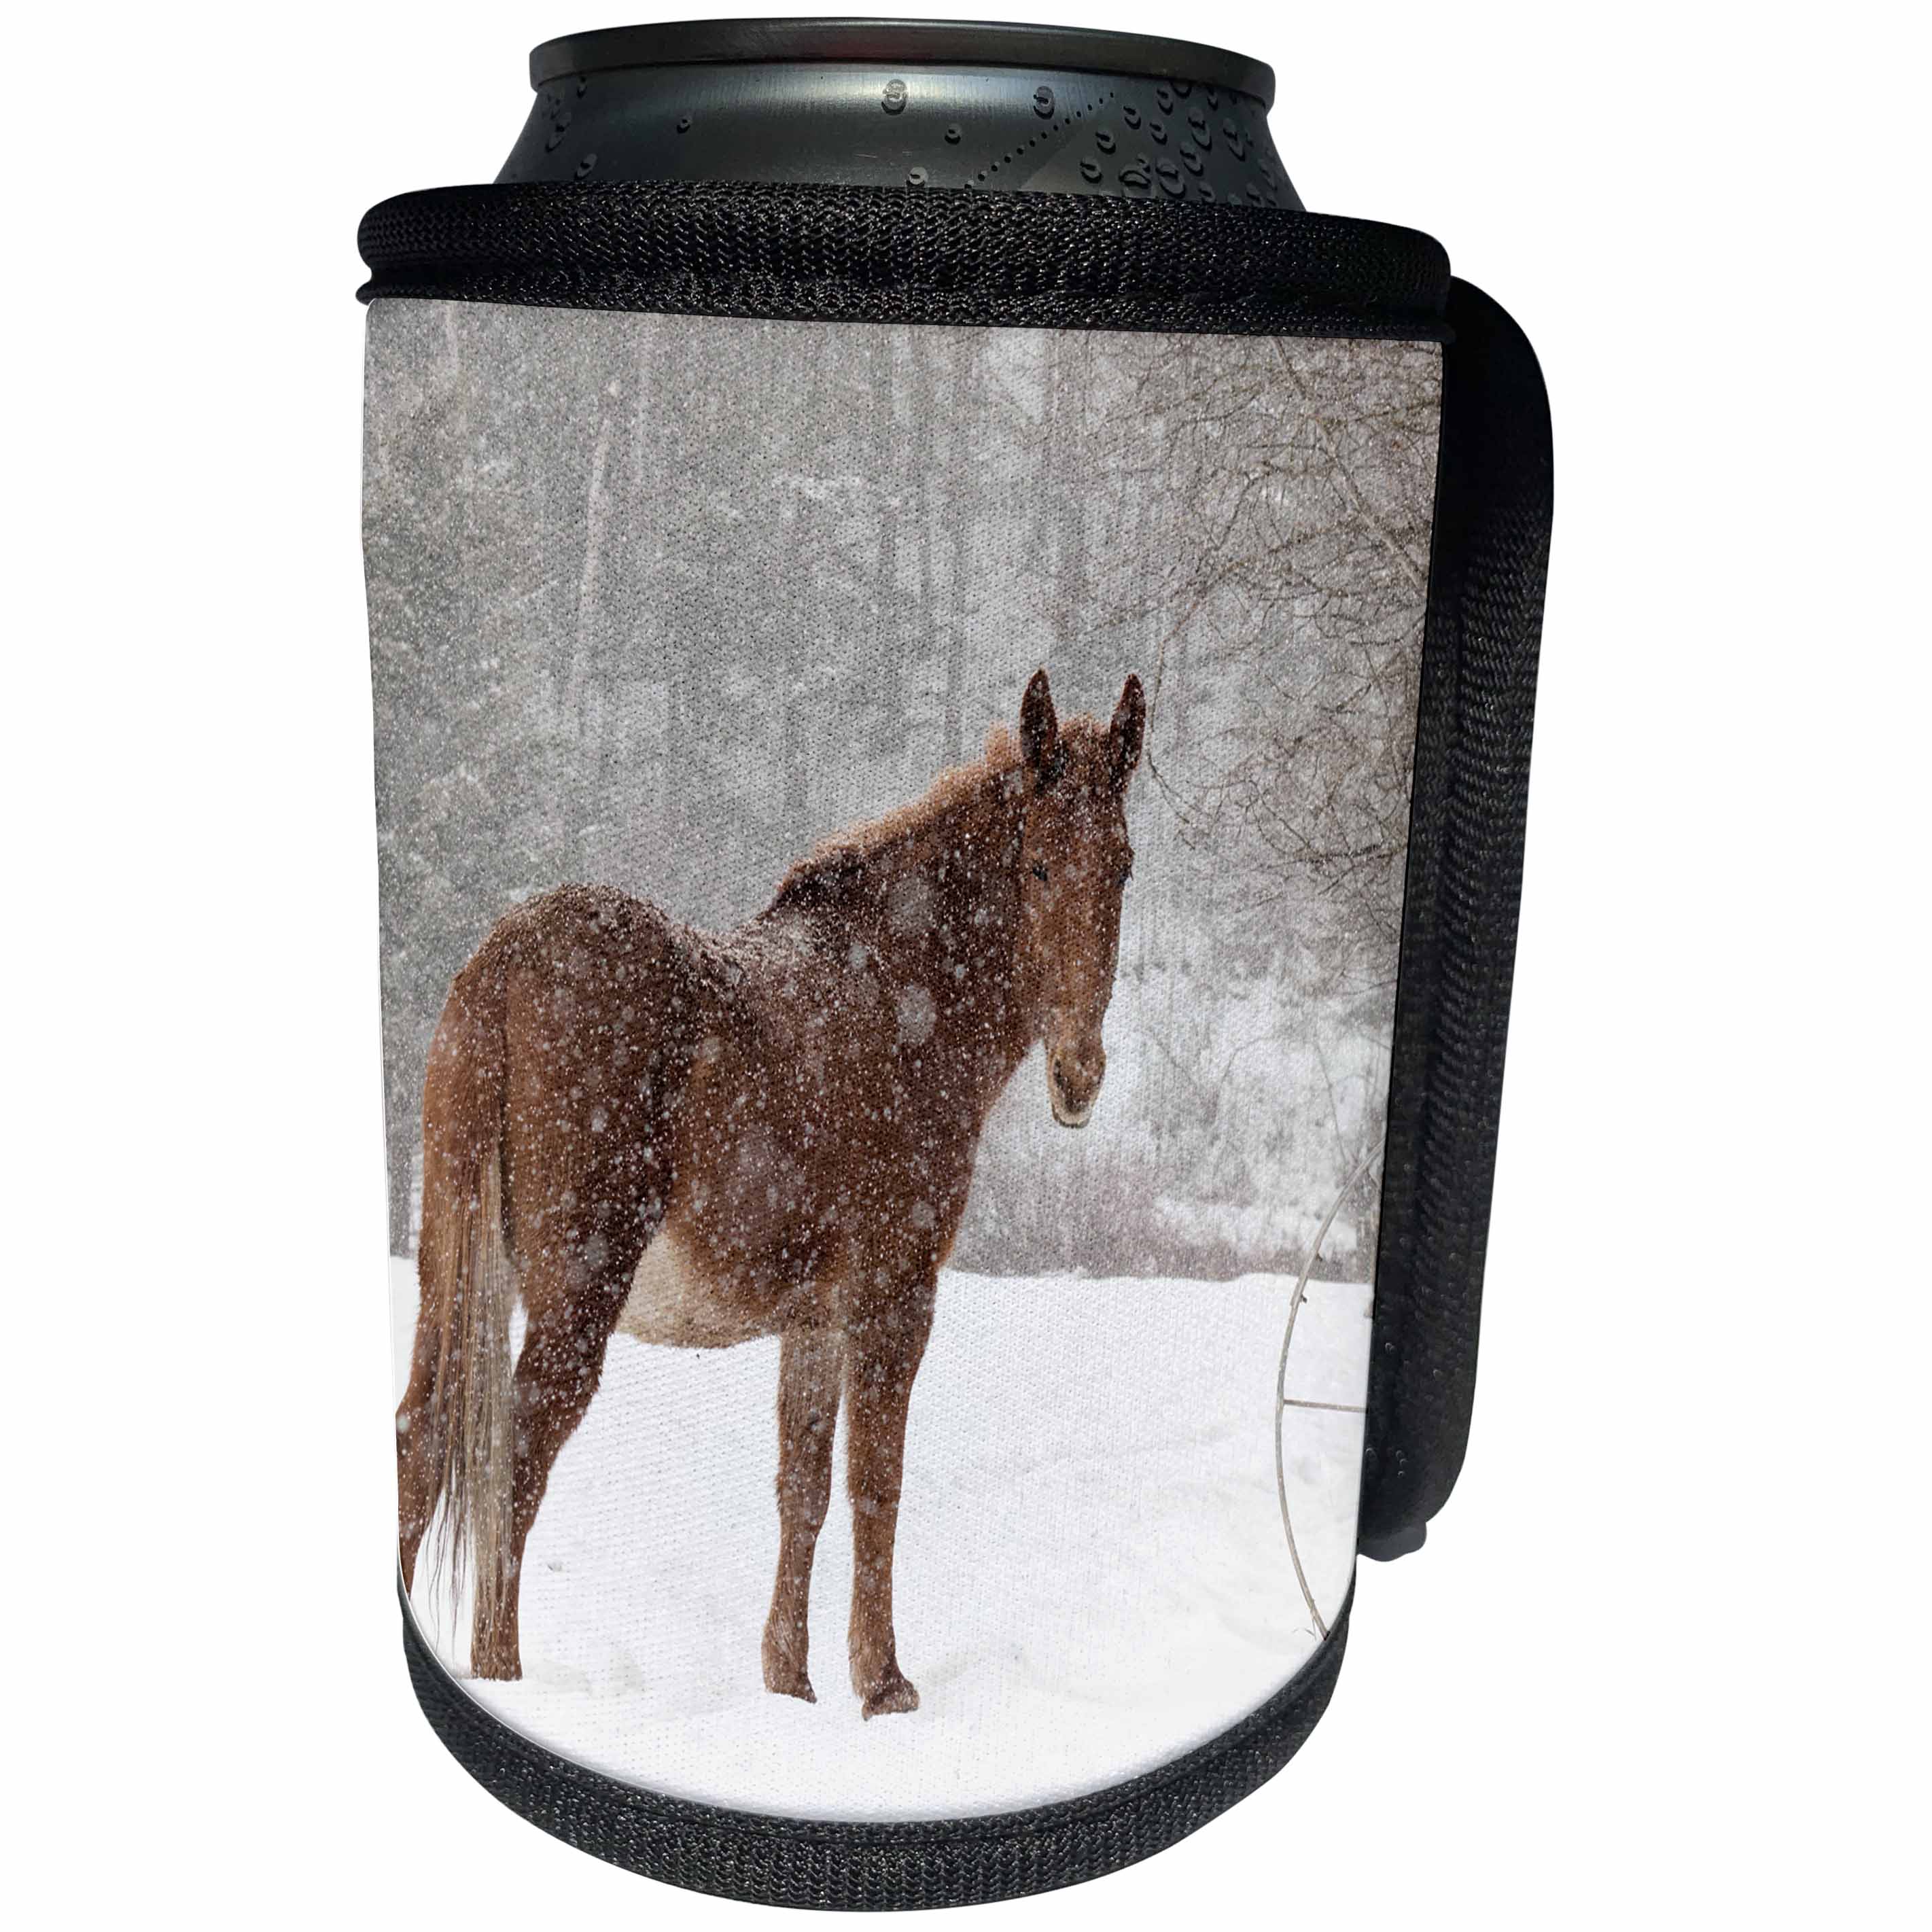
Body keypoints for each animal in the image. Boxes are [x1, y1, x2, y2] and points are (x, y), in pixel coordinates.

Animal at [396, 667, 1145, 1717]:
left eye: (1121, 868)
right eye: (1035, 865)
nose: (1079, 1074)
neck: (896, 999)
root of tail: (506, 956)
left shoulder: (813, 1319)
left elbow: (803, 1486)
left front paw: (789, 1683)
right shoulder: (892, 1299)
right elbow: (875, 1482)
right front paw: (882, 1682)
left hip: (457, 1272)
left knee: (421, 1439)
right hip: (573, 1294)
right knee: (515, 1461)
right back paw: (501, 1673)